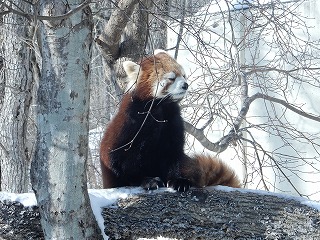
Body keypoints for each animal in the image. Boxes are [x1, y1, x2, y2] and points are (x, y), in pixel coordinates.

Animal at [100, 50, 240, 191]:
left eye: (183, 75)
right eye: (171, 78)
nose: (185, 85)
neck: (160, 106)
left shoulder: (173, 121)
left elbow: (172, 154)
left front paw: (177, 180)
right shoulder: (132, 125)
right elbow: (125, 161)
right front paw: (146, 180)